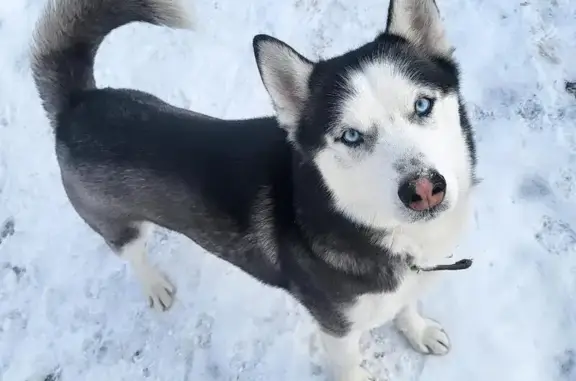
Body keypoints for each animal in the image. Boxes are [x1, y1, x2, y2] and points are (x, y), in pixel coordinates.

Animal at [29, 0, 474, 378]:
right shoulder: (337, 329)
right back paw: (154, 285)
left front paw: (418, 330)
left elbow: (407, 306)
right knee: (132, 254)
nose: (424, 189)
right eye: (350, 136)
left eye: (422, 105)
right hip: (119, 225)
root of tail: (78, 103)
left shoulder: (407, 284)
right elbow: (349, 366)